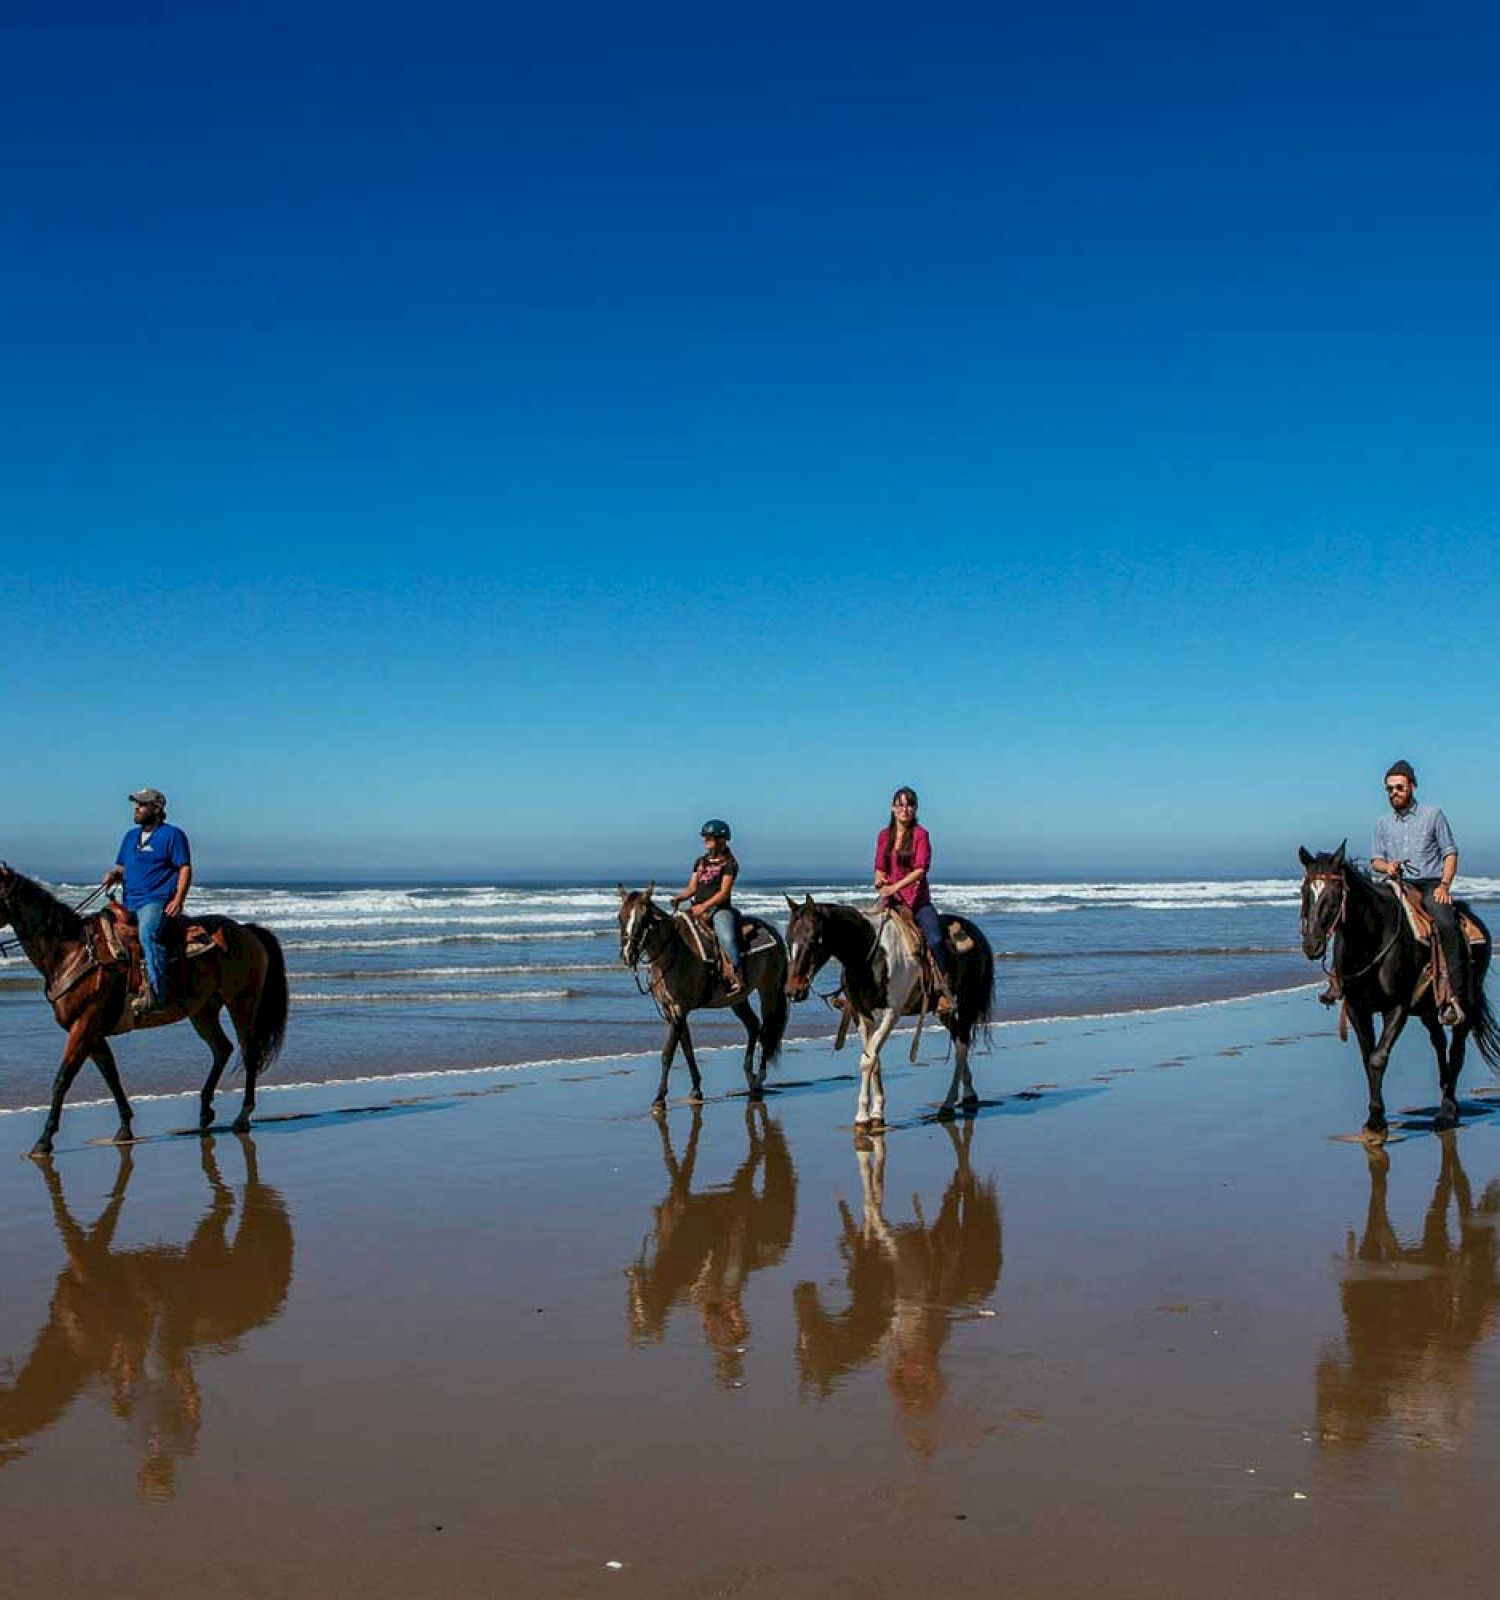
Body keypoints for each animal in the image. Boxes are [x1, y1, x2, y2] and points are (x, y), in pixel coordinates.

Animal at [0, 870, 289, 1158]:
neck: (71, 953)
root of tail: (246, 930)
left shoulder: (84, 1026)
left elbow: (62, 1079)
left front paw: (44, 1141)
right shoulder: (92, 1033)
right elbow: (111, 1075)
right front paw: (124, 1128)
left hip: (241, 1002)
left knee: (248, 1053)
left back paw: (242, 1116)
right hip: (203, 1010)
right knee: (222, 1049)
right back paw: (205, 1111)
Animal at [783, 896, 991, 1132]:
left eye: (813, 941)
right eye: (788, 940)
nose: (793, 991)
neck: (868, 953)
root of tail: (977, 934)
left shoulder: (891, 1013)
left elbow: (868, 1060)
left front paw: (862, 1117)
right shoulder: (862, 1014)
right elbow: (873, 1059)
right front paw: (875, 1113)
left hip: (967, 1005)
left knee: (962, 1047)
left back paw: (947, 1104)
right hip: (945, 1012)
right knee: (958, 1041)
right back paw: (969, 1095)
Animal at [1292, 851, 1490, 1139]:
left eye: (1335, 892)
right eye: (1305, 890)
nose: (1312, 944)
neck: (1371, 941)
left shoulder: (1397, 1007)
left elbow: (1378, 1058)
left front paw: (1376, 1123)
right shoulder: (1357, 1009)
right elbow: (1367, 1058)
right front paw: (1374, 1121)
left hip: (1465, 1003)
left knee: (1457, 1050)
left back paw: (1447, 1111)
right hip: (1428, 1009)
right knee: (1439, 1042)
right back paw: (1445, 1095)